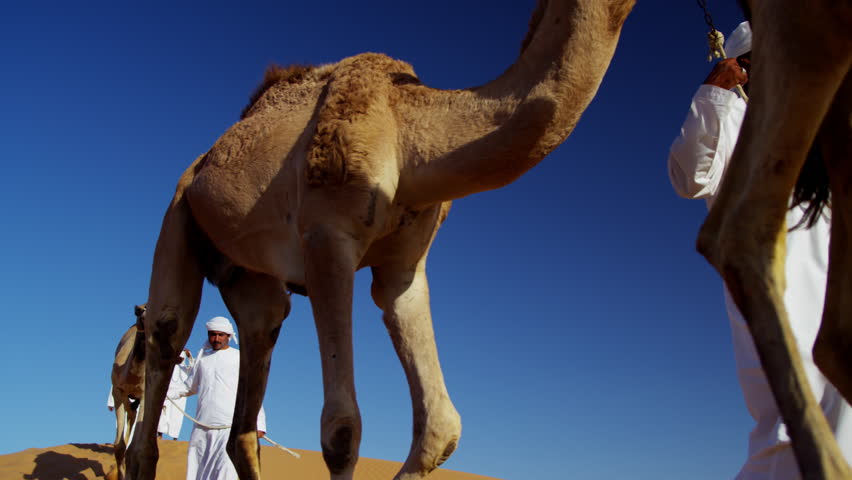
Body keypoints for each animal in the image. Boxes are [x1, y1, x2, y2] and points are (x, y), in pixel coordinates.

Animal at [125, 1, 632, 478]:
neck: (410, 134)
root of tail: (201, 165)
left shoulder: (403, 269)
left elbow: (440, 429)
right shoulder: (327, 238)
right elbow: (341, 429)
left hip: (248, 280)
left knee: (251, 382)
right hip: (178, 215)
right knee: (164, 344)